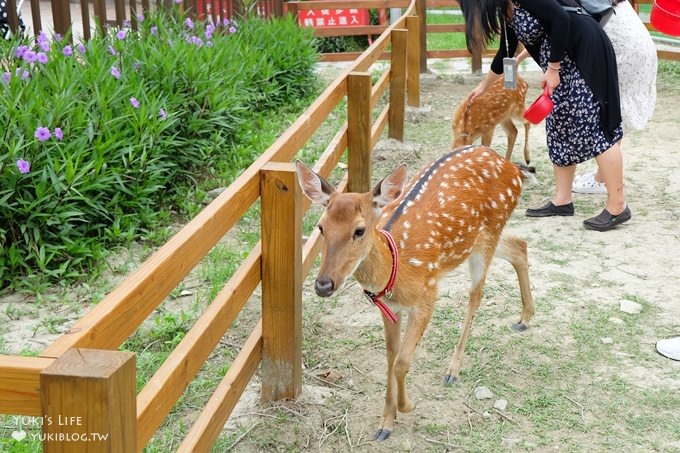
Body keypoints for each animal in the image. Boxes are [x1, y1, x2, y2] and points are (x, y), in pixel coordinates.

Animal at [298, 146, 536, 442]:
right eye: (320, 227)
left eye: (359, 230)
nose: (323, 285)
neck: (395, 271)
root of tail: (513, 168)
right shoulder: (389, 309)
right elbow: (390, 359)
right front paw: (385, 424)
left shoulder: (427, 295)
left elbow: (401, 362)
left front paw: (407, 406)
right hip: (480, 240)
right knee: (519, 246)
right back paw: (525, 318)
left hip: (489, 236)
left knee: (476, 295)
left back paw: (453, 370)